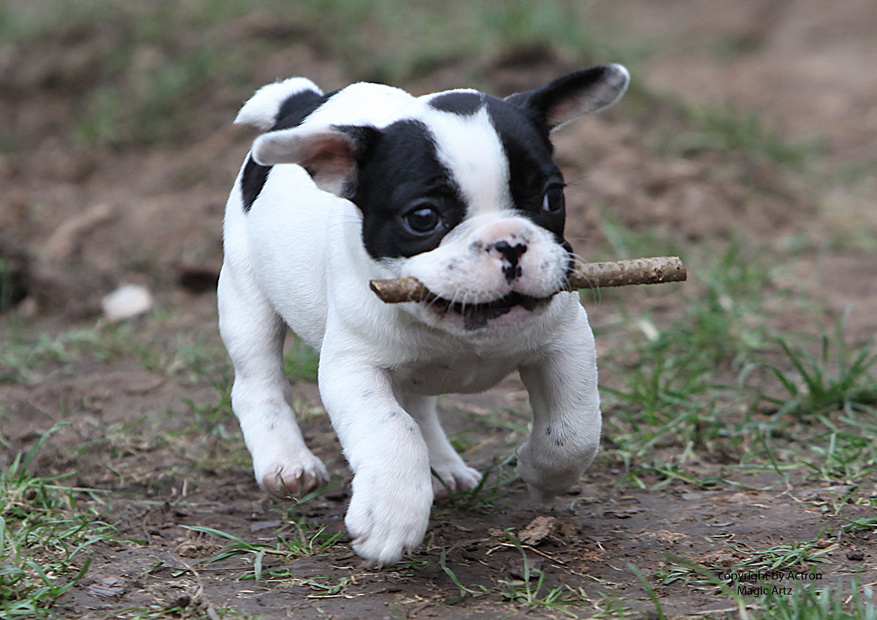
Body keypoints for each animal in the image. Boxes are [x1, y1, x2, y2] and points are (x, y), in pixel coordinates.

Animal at [219, 64, 628, 568]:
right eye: (423, 218)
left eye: (553, 198)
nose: (509, 242)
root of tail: (301, 101)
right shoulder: (353, 369)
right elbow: (391, 430)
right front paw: (392, 514)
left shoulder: (564, 342)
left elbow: (573, 431)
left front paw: (541, 473)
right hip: (245, 295)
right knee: (259, 383)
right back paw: (288, 463)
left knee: (418, 405)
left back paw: (446, 470)